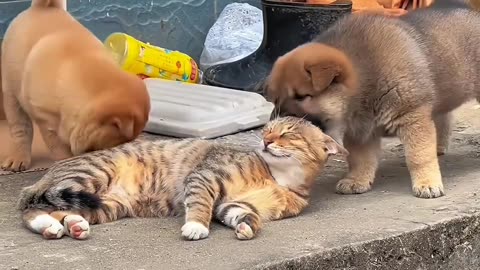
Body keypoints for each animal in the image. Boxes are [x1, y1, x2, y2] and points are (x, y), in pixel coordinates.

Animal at [16, 117, 346, 242]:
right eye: (267, 129)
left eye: (287, 133)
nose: (265, 140)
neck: (277, 178)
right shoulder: (205, 177)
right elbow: (200, 204)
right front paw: (196, 226)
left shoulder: (233, 205)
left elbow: (245, 215)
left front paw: (246, 228)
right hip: (91, 177)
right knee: (31, 208)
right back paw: (48, 225)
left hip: (105, 204)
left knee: (60, 210)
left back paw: (72, 225)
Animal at [262, 0, 480, 199]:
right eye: (276, 99)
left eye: (302, 96)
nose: (277, 122)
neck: (365, 77)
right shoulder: (359, 132)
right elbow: (360, 159)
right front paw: (356, 180)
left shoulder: (412, 116)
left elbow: (418, 156)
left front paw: (427, 183)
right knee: (443, 117)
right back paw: (439, 147)